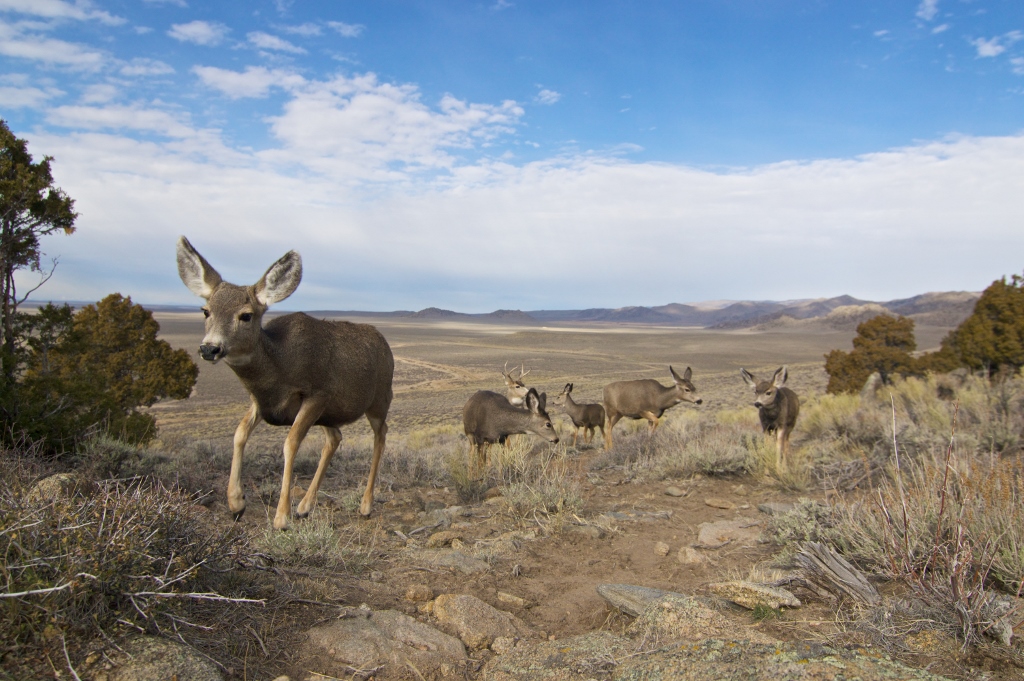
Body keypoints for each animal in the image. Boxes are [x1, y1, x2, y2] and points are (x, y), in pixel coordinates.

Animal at [176, 236, 391, 528]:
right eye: (205, 311)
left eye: (246, 315)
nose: (210, 348)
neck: (279, 365)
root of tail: (385, 344)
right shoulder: (262, 402)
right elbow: (240, 433)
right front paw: (236, 503)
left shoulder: (317, 394)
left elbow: (290, 444)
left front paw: (281, 517)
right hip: (331, 415)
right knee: (335, 438)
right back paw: (305, 506)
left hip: (379, 399)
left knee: (380, 435)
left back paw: (365, 504)